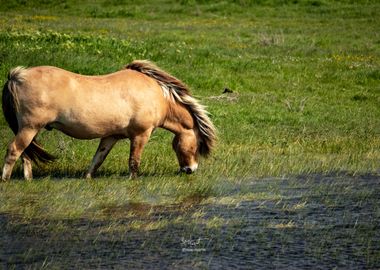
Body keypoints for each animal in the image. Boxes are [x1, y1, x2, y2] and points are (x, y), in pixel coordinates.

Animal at [0, 60, 217, 180]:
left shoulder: (111, 137)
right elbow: (134, 162)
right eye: (197, 145)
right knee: (14, 150)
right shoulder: (141, 135)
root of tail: (17, 76)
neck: (156, 94)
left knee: (26, 154)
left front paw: (88, 178)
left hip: (29, 130)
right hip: (29, 128)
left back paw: (28, 179)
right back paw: (5, 179)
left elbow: (98, 159)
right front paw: (133, 181)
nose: (190, 170)